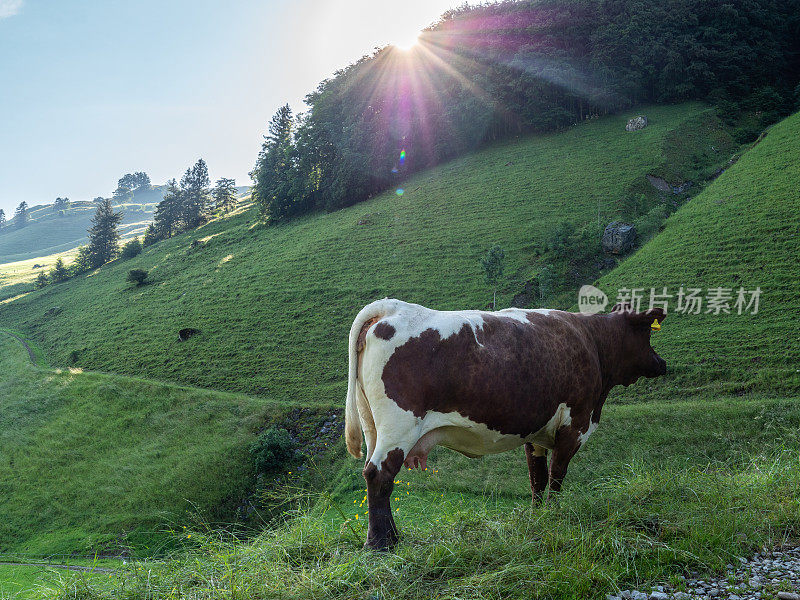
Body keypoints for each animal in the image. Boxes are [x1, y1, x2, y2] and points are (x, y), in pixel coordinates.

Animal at [340, 298, 664, 552]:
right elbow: (556, 477)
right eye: (646, 333)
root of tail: (393, 307)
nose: (662, 363)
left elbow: (537, 479)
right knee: (379, 474)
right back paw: (381, 543)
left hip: (373, 427)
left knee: (375, 474)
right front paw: (555, 516)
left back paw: (392, 536)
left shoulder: (536, 433)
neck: (592, 342)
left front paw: (538, 518)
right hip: (399, 426)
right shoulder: (574, 426)